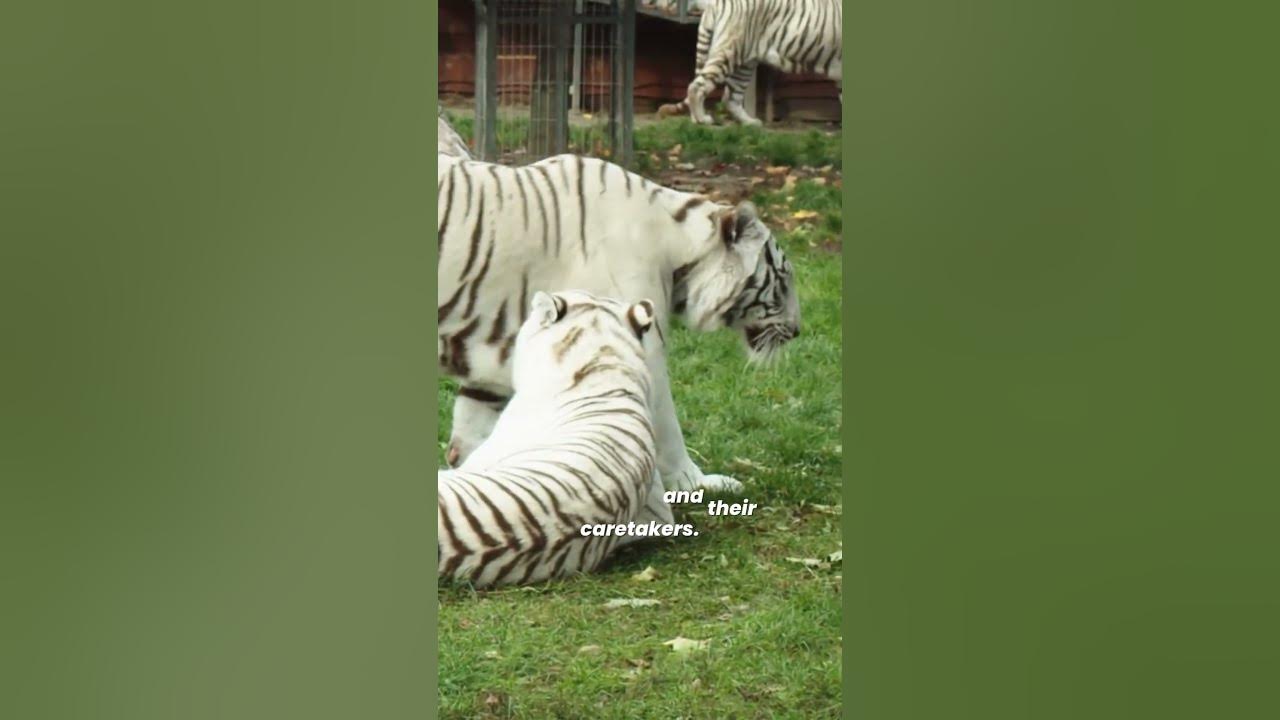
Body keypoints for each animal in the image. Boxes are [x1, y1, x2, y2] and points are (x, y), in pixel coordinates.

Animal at [437, 151, 800, 494]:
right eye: (783, 281)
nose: (798, 331)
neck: (677, 243)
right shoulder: (642, 349)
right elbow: (668, 430)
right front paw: (697, 482)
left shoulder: (493, 365)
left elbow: (475, 434)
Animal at [661, 0, 842, 126]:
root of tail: (715, 3)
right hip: (728, 53)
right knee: (697, 86)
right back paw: (702, 119)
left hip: (745, 64)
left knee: (730, 97)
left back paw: (750, 122)